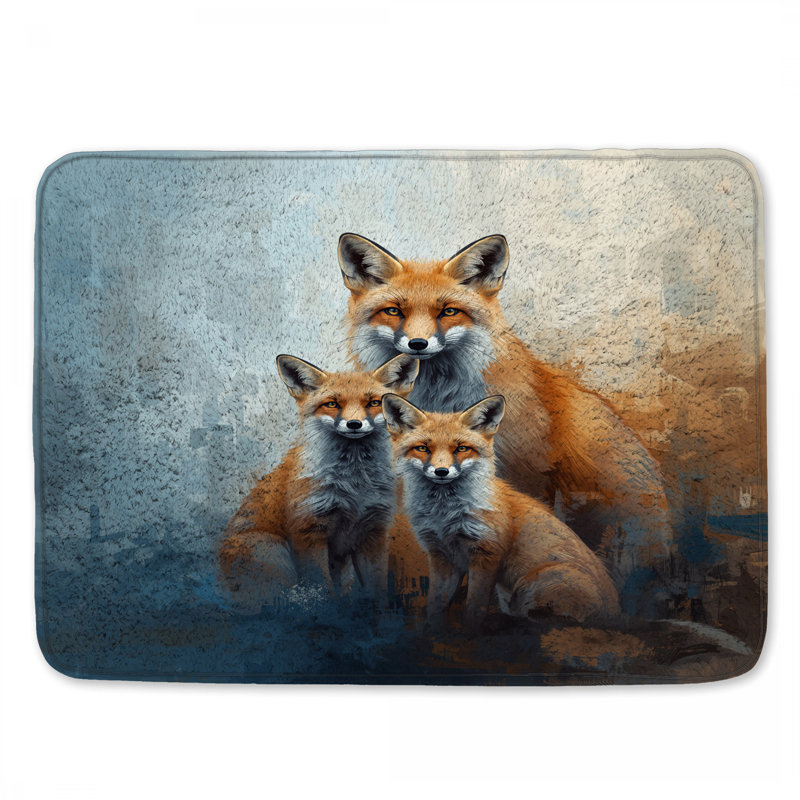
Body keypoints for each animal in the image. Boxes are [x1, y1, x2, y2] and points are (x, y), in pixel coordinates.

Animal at [218, 353, 419, 611]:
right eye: (332, 404)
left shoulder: (373, 532)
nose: (354, 424)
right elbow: (323, 591)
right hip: (274, 556)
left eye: (373, 403)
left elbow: (378, 591)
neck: (355, 487)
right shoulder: (309, 531)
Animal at [382, 392, 620, 630]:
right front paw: (433, 630)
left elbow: (474, 608)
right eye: (423, 448)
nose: (442, 471)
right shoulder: (441, 555)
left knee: (548, 623)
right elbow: (435, 604)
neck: (444, 515)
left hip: (528, 587)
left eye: (461, 448)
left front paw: (470, 631)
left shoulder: (486, 553)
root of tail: (616, 613)